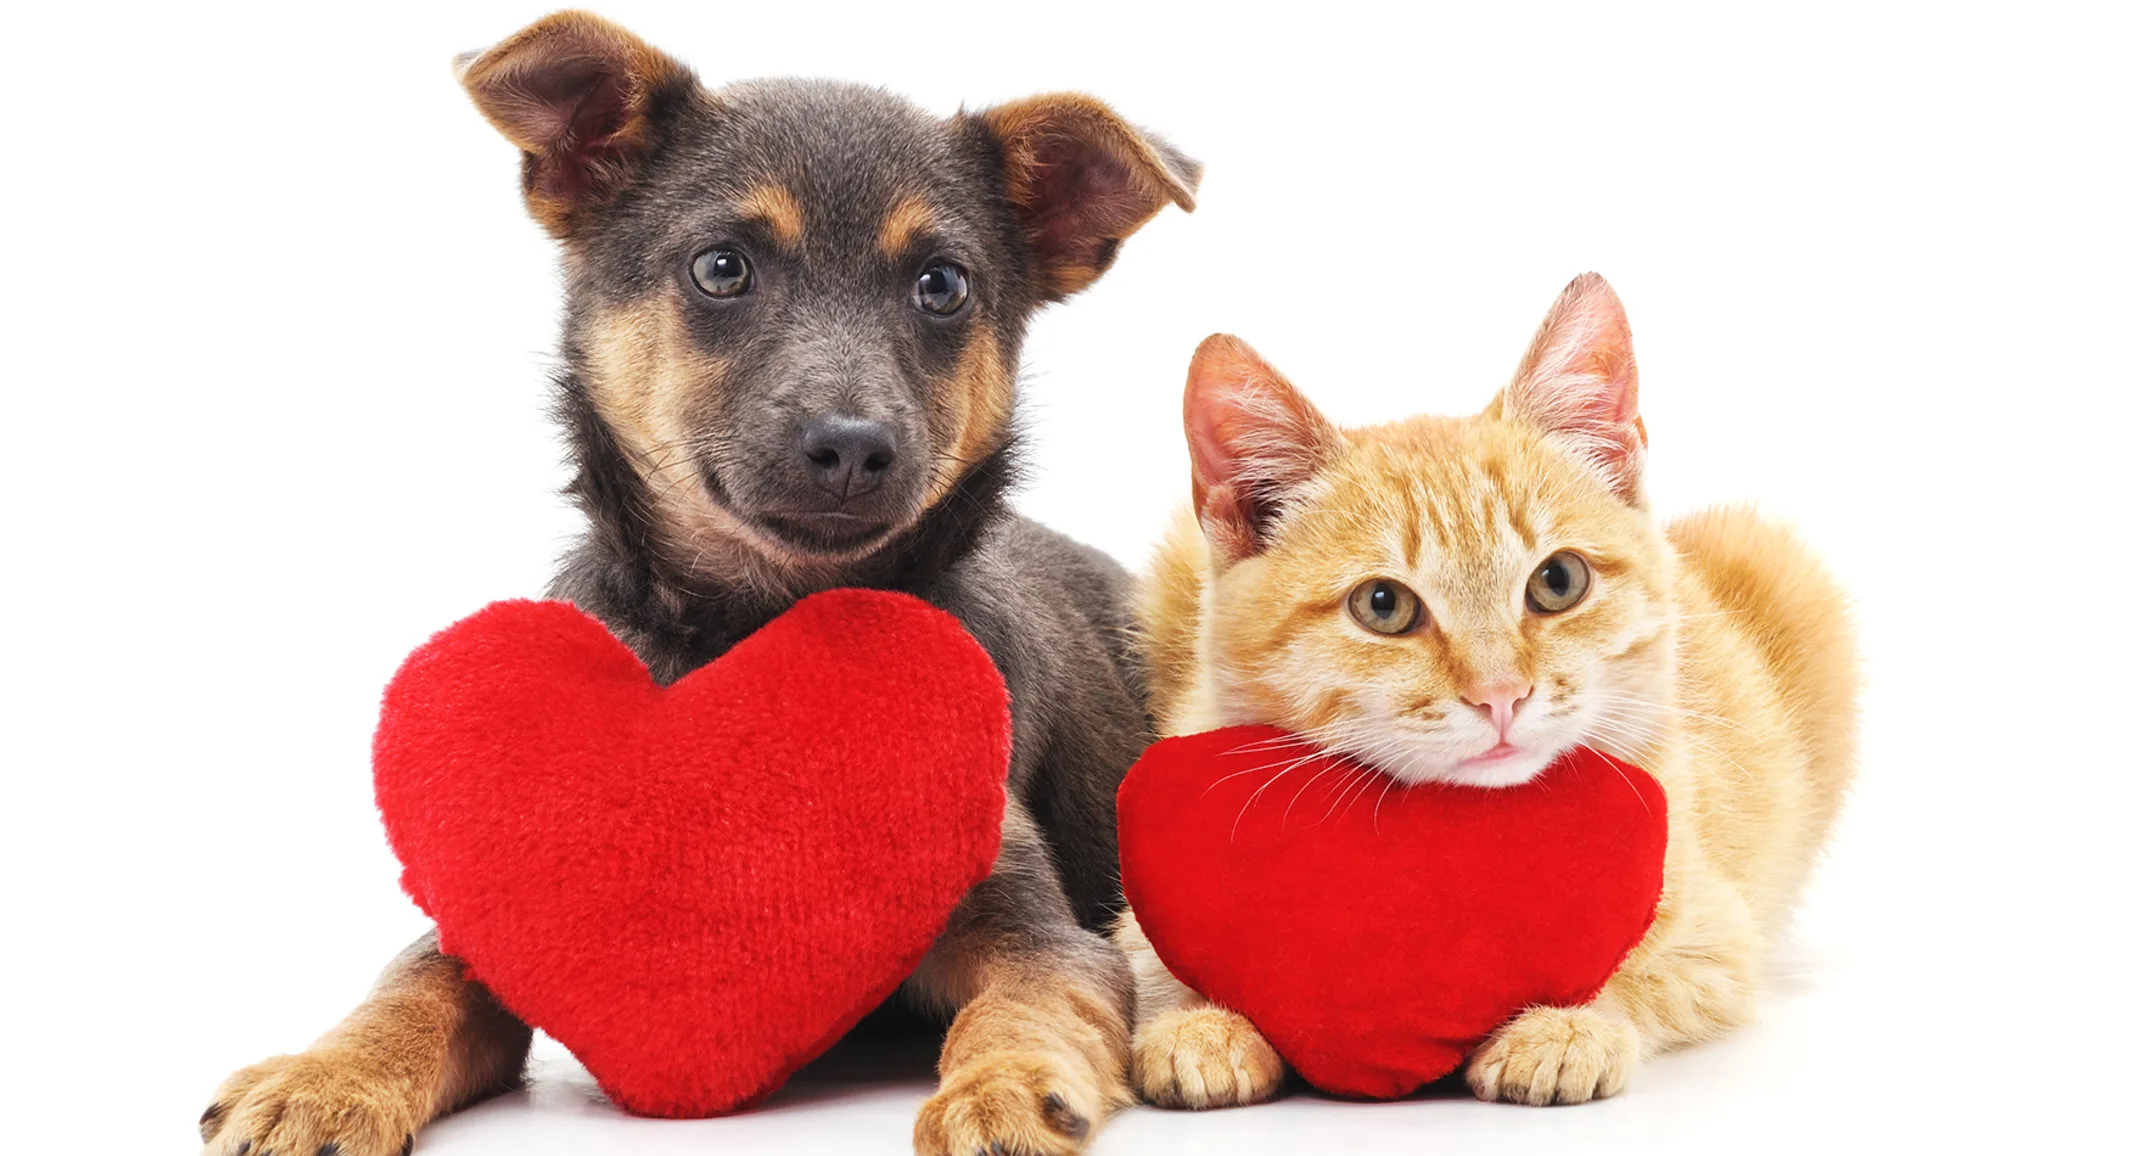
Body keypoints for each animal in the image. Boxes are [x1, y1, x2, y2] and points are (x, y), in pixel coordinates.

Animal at [192, 11, 1198, 1156]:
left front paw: (1002, 1086)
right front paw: (322, 1076)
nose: (853, 447)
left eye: (942, 286)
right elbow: (407, 987)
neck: (757, 618)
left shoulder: (1042, 930)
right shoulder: (492, 910)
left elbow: (1026, 1001)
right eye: (722, 267)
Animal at [1121, 272, 1857, 1113]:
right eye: (1382, 605)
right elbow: (1148, 967)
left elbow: (1640, 969)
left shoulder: (1717, 939)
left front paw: (1566, 1029)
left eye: (1559, 581)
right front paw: (1202, 1023)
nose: (1501, 695)